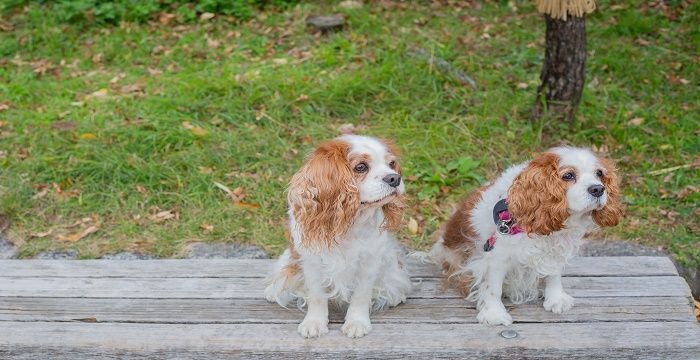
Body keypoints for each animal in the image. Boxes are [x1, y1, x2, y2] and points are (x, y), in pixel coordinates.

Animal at [266, 134, 412, 338]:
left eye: (391, 164)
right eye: (361, 167)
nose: (395, 177)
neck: (350, 222)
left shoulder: (370, 261)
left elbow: (361, 295)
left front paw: (357, 322)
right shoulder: (312, 261)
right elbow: (317, 296)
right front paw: (314, 322)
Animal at [432, 147, 624, 326]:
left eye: (599, 174)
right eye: (568, 176)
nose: (598, 189)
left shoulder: (554, 250)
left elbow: (554, 274)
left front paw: (555, 298)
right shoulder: (497, 256)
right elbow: (493, 287)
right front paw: (494, 314)